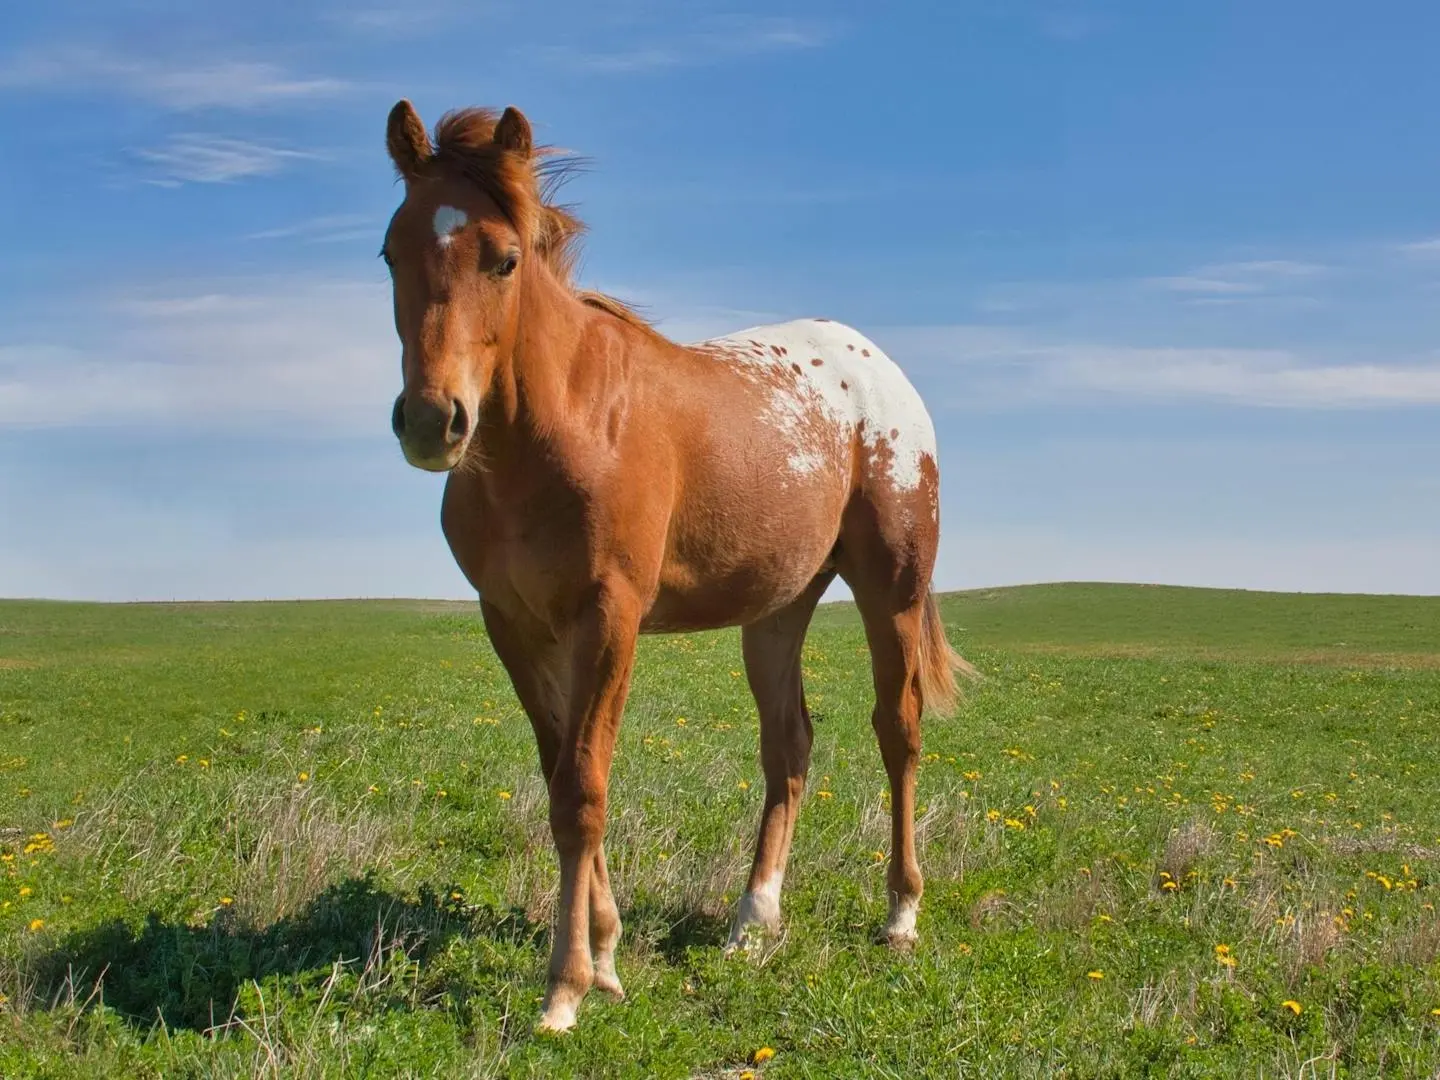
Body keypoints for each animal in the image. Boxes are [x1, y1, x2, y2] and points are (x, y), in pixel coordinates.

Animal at [377, 99, 973, 1031]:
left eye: (503, 259)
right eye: (391, 252)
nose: (434, 421)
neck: (556, 429)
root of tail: (877, 367)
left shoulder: (608, 618)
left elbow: (583, 790)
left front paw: (567, 987)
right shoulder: (515, 626)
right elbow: (560, 777)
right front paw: (608, 955)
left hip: (894, 590)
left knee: (898, 730)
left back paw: (901, 912)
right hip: (776, 611)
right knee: (789, 745)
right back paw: (754, 920)